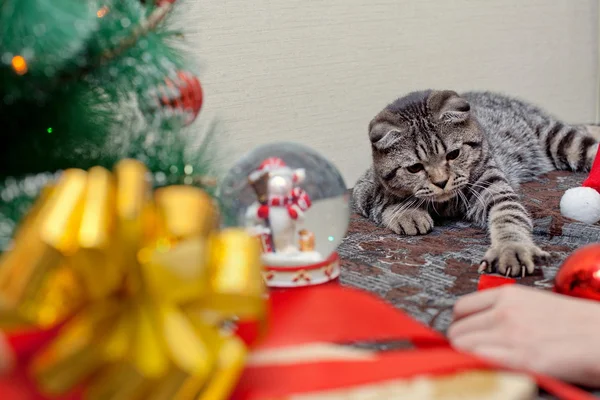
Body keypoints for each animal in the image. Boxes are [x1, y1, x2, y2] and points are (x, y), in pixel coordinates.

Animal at [352, 90, 600, 276]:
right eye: (415, 168)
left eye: (453, 154)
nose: (441, 181)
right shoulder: (363, 188)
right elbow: (382, 200)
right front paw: (407, 213)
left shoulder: (491, 183)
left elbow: (508, 214)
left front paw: (511, 247)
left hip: (560, 139)